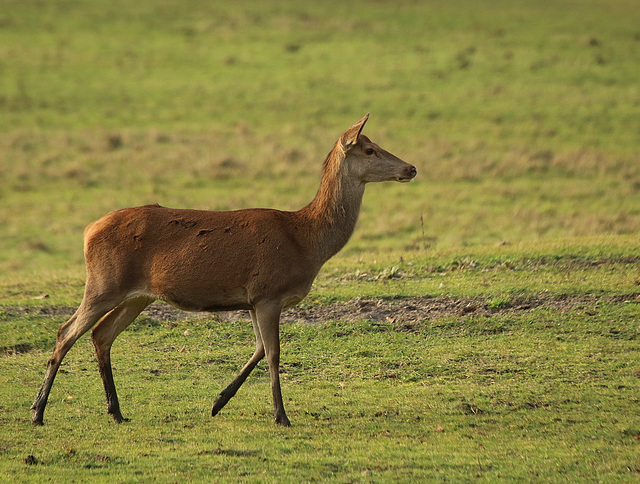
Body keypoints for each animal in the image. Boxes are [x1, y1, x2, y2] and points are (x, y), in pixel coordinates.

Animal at [31, 115, 416, 426]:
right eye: (369, 149)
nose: (411, 168)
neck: (305, 240)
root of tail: (88, 231)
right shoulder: (268, 293)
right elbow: (273, 354)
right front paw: (281, 416)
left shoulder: (253, 300)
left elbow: (259, 349)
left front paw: (218, 402)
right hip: (103, 282)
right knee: (66, 332)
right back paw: (38, 411)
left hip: (137, 296)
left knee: (101, 334)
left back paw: (116, 412)